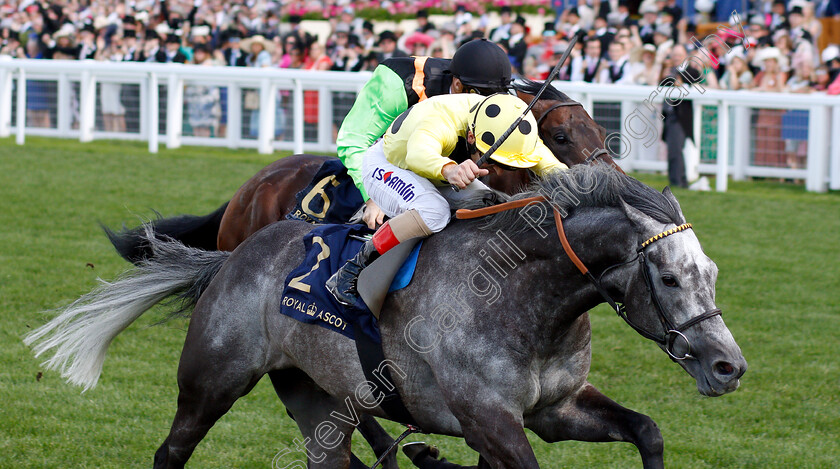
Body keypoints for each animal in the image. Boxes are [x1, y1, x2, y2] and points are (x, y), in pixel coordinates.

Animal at [26, 163, 748, 466]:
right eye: (668, 276)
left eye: (710, 273)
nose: (728, 366)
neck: (527, 298)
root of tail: (234, 255)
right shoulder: (490, 421)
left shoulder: (554, 409)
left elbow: (648, 430)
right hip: (211, 380)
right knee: (171, 449)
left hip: (316, 398)